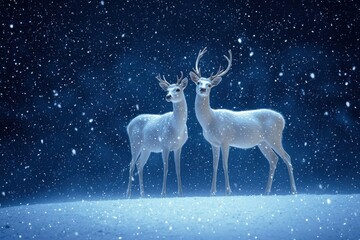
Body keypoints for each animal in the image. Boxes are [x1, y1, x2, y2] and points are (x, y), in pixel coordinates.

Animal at [190, 47, 296, 196]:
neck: (210, 121)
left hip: (274, 137)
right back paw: (266, 191)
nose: (203, 89)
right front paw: (212, 192)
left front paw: (228, 191)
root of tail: (283, 119)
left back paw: (293, 190)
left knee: (287, 157)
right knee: (273, 159)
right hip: (262, 142)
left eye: (209, 85)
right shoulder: (214, 143)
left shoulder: (225, 140)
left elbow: (225, 164)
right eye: (198, 82)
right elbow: (214, 165)